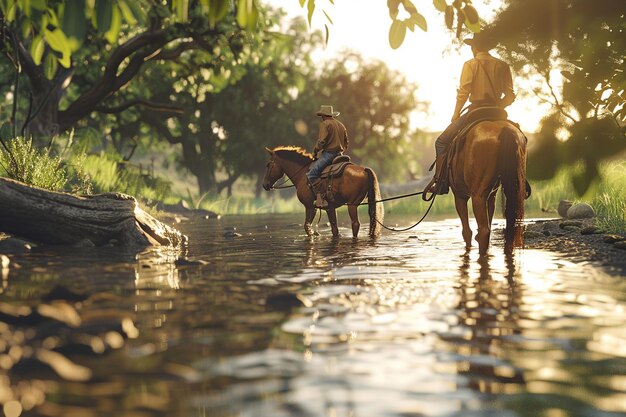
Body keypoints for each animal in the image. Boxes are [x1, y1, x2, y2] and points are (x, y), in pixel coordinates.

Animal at [444, 121, 528, 254]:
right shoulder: (491, 195)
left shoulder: (460, 196)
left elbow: (466, 232)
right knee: (509, 225)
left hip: (477, 196)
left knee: (484, 230)